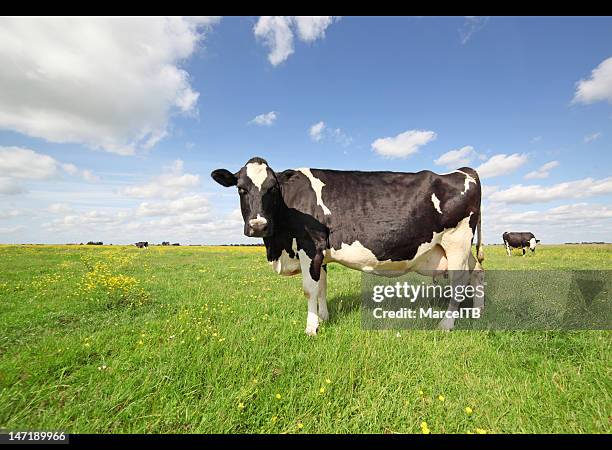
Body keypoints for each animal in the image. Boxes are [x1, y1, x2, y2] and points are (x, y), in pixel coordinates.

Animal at [213, 158, 486, 334]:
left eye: (272, 188)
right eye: (241, 189)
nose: (258, 225)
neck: (278, 247)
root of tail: (463, 171)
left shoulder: (309, 246)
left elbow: (309, 290)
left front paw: (311, 328)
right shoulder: (321, 253)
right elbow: (322, 286)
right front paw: (324, 318)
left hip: (457, 241)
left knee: (459, 282)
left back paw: (446, 325)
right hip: (460, 248)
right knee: (478, 273)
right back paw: (478, 313)